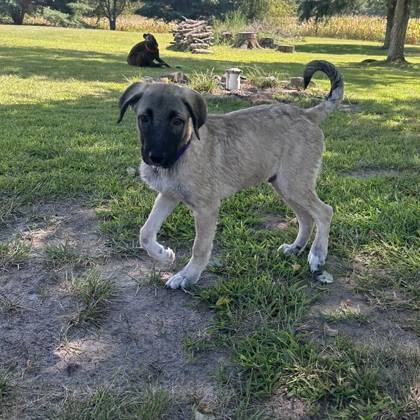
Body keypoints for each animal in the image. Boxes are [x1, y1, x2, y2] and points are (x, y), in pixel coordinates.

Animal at [116, 60, 342, 288]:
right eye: (144, 118)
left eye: (177, 121)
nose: (156, 158)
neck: (184, 150)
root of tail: (306, 114)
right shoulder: (169, 195)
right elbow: (145, 232)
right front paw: (164, 255)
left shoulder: (206, 208)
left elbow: (199, 248)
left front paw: (188, 276)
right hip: (284, 186)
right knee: (306, 218)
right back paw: (295, 248)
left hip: (294, 184)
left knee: (324, 212)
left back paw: (317, 255)